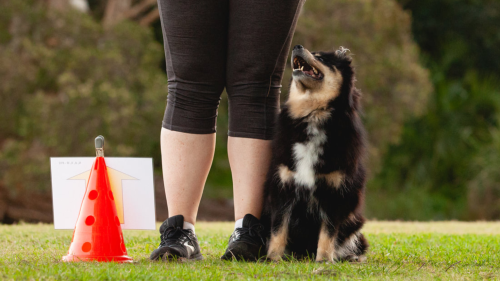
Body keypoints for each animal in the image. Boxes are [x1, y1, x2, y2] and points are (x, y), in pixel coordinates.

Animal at [262, 44, 368, 262]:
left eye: (321, 58)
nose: (297, 46)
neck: (313, 115)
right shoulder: (282, 186)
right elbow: (278, 228)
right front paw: (273, 258)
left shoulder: (335, 192)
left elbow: (328, 232)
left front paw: (324, 260)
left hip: (355, 221)